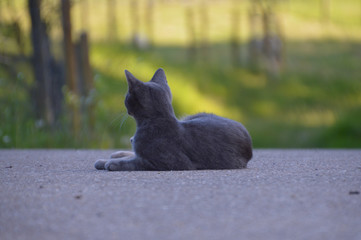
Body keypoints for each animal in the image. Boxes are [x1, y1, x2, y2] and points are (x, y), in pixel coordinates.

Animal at [94, 68, 252, 172]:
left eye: (126, 97)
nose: (125, 107)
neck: (158, 120)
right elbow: (134, 157)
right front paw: (106, 161)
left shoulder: (173, 163)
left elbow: (137, 163)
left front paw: (113, 164)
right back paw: (117, 153)